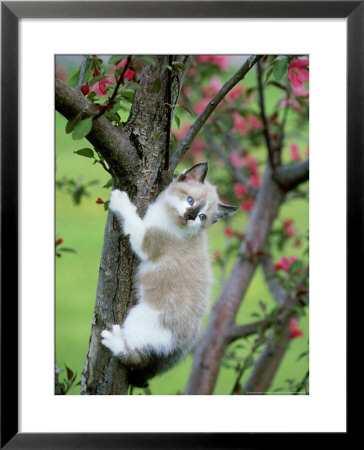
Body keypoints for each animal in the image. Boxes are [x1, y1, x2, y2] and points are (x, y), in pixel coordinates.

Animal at [101, 162, 237, 386]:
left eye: (202, 217)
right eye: (190, 200)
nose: (191, 216)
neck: (167, 215)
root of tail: (184, 345)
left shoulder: (146, 240)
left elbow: (133, 221)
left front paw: (120, 200)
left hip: (137, 319)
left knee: (137, 358)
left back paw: (115, 341)